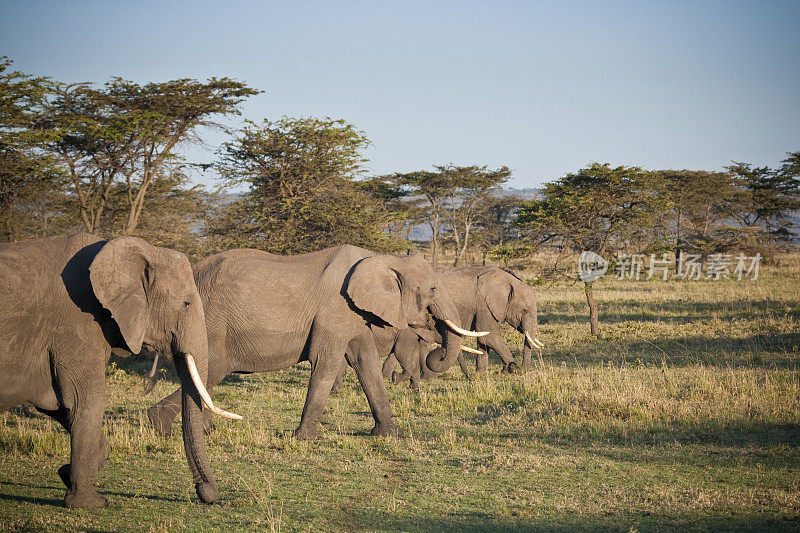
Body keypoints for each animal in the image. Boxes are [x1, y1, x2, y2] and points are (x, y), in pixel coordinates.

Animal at [0, 233, 239, 508]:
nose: (207, 491)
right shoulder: (77, 324)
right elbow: (84, 401)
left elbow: (60, 406)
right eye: (187, 304)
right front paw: (90, 503)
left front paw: (65, 474)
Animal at [145, 244, 482, 436]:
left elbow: (365, 362)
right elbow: (327, 362)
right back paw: (162, 424)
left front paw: (389, 434)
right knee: (210, 370)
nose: (436, 357)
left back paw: (188, 427)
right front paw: (305, 438)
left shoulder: (353, 312)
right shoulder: (335, 309)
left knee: (210, 373)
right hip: (209, 322)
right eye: (434, 289)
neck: (380, 259)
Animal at [382, 264, 544, 380]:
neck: (508, 280)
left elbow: (483, 341)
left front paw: (481, 374)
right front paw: (509, 370)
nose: (522, 371)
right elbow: (489, 337)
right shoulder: (484, 305)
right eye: (525, 311)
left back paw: (389, 377)